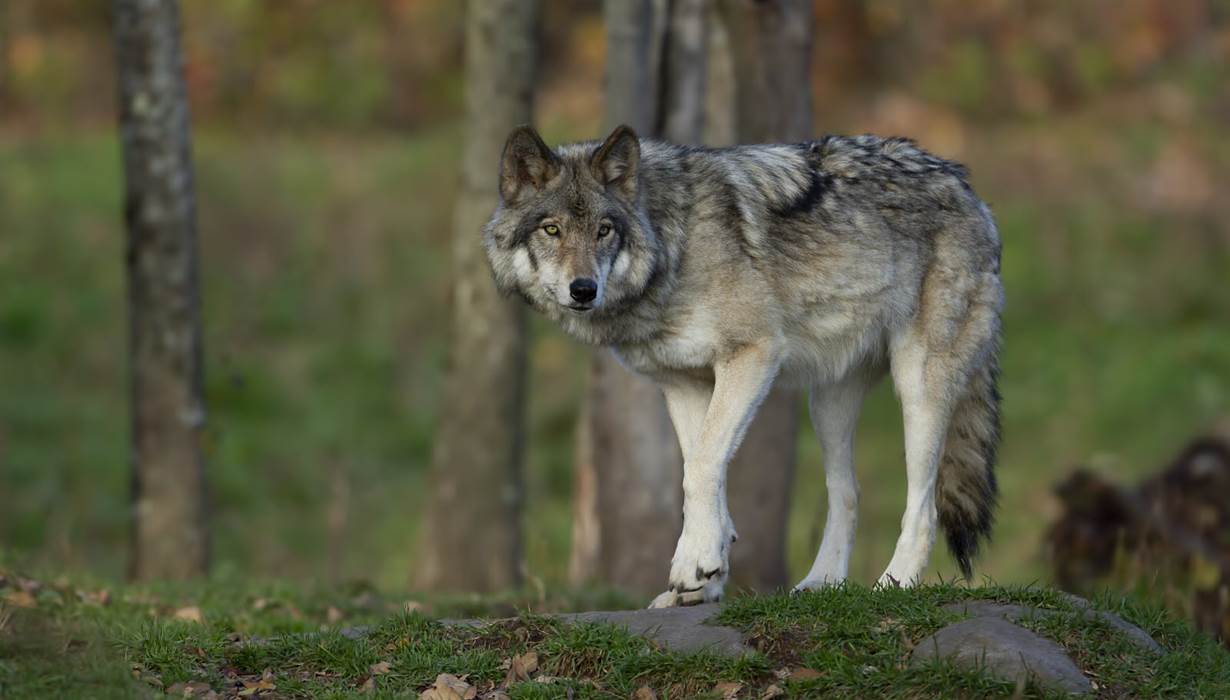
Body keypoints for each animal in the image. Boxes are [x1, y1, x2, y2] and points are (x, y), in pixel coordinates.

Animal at [483, 124, 1003, 607]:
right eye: (552, 230)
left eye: (603, 230)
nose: (584, 289)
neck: (674, 245)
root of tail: (967, 186)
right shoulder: (685, 384)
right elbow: (702, 470)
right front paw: (704, 575)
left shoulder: (754, 354)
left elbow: (702, 466)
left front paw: (693, 565)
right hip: (827, 405)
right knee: (847, 493)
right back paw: (821, 584)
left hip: (918, 389)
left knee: (923, 506)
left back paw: (893, 585)